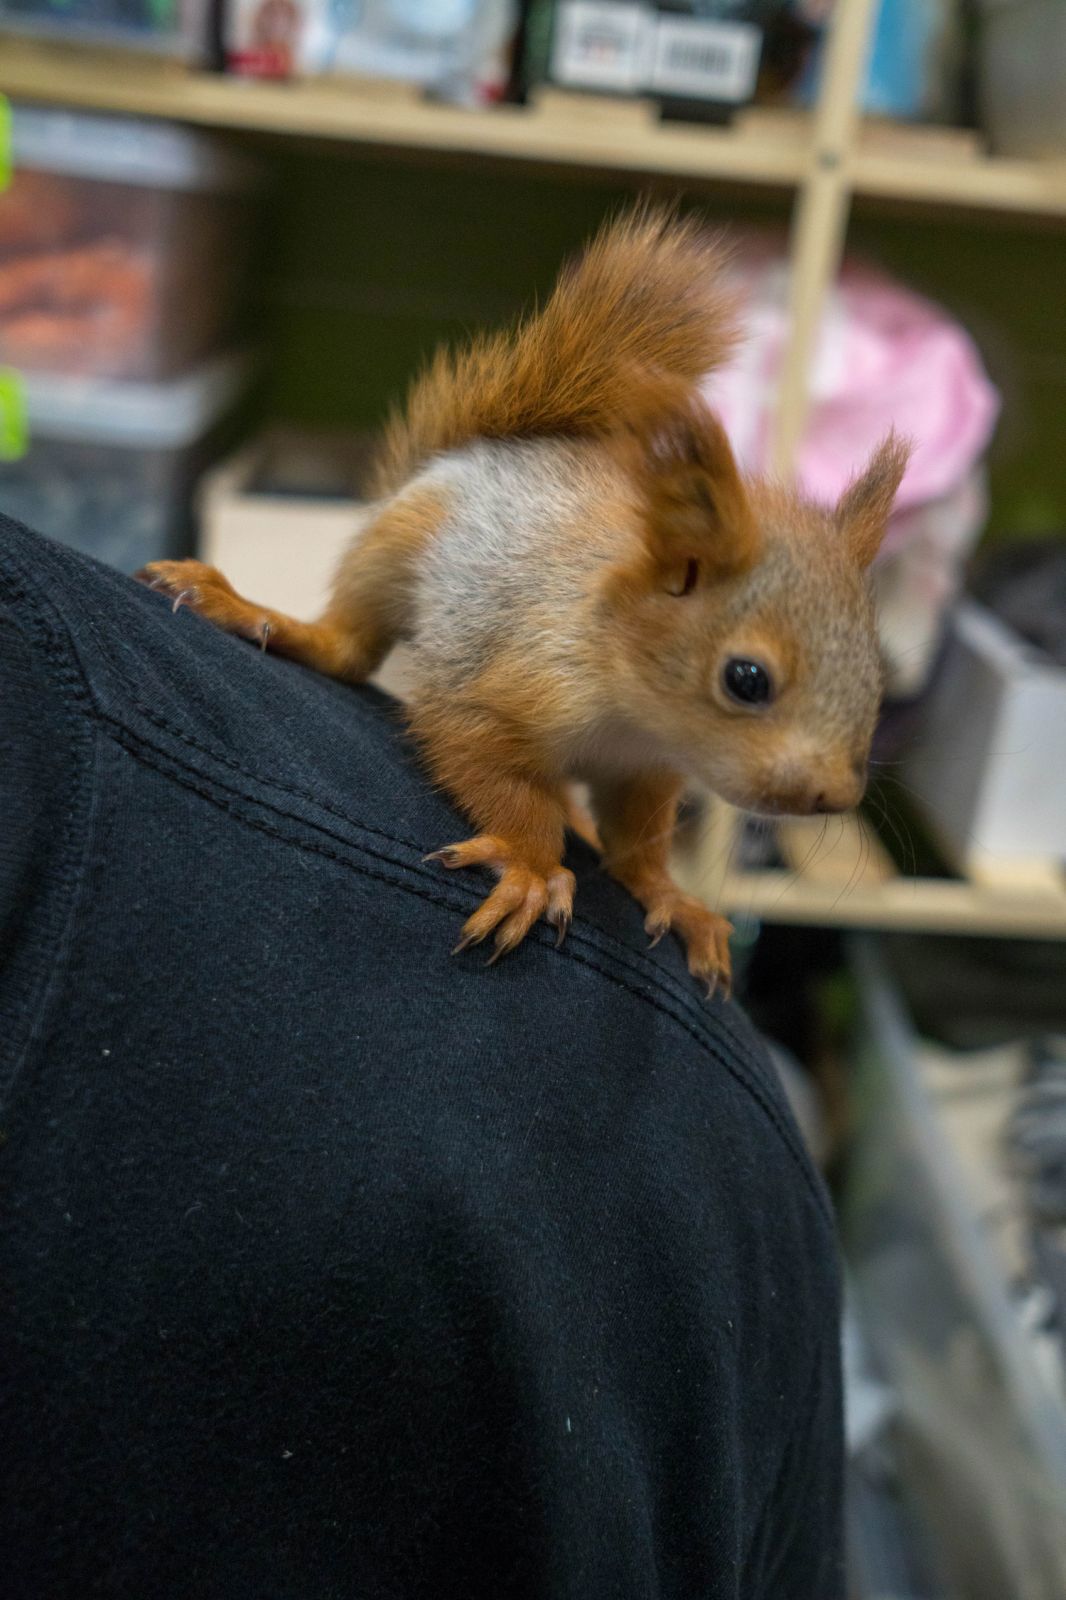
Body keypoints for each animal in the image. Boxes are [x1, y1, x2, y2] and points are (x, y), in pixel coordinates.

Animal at [139, 204, 902, 992]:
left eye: (878, 677)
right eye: (746, 679)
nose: (833, 797)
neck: (637, 710)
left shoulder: (644, 771)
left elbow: (638, 844)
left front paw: (673, 897)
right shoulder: (510, 680)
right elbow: (490, 768)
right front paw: (534, 869)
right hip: (391, 550)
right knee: (348, 648)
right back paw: (264, 616)